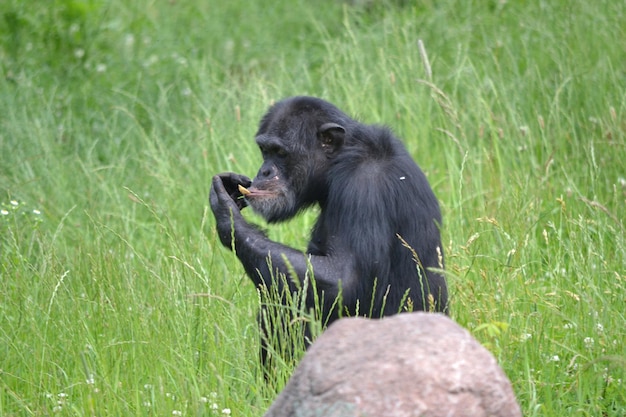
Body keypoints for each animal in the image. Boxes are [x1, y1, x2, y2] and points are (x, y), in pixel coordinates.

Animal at [210, 96, 444, 366]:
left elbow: (344, 279)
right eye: (264, 151)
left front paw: (227, 214)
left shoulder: (364, 189)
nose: (264, 171)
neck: (340, 162)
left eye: (280, 153)